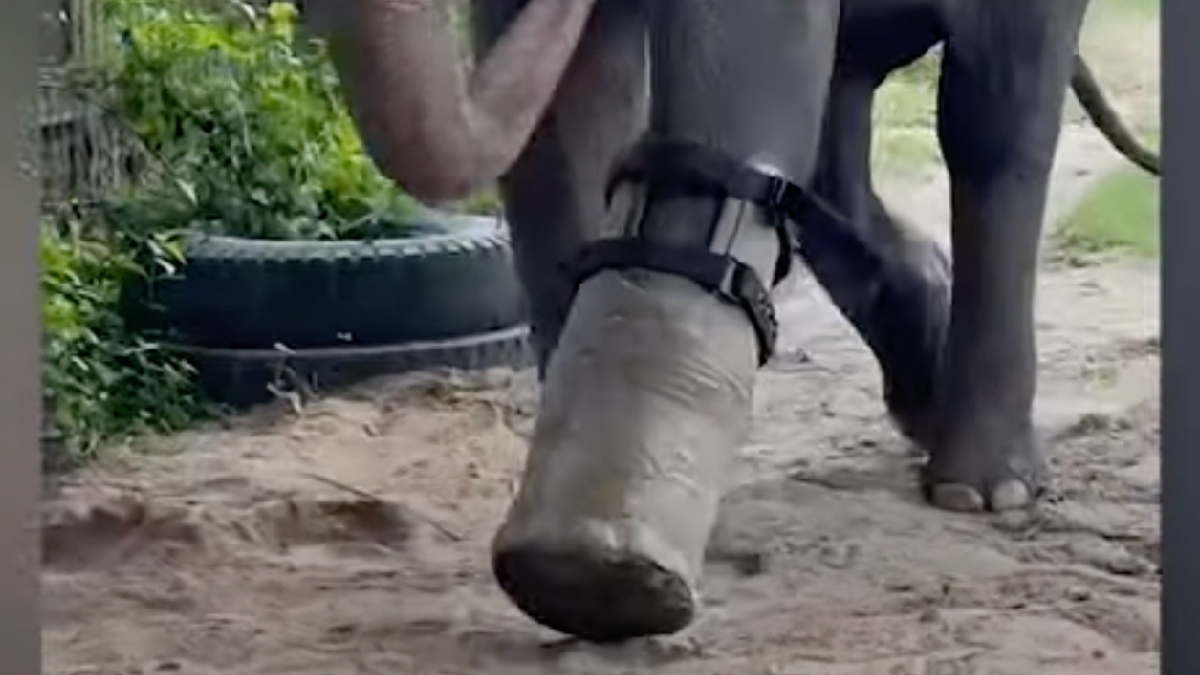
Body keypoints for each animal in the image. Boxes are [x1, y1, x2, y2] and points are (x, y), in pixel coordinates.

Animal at [309, 0, 1161, 638]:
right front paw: (577, 565)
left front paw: (600, 573)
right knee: (844, 112)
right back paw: (927, 386)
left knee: (993, 109)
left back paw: (983, 491)